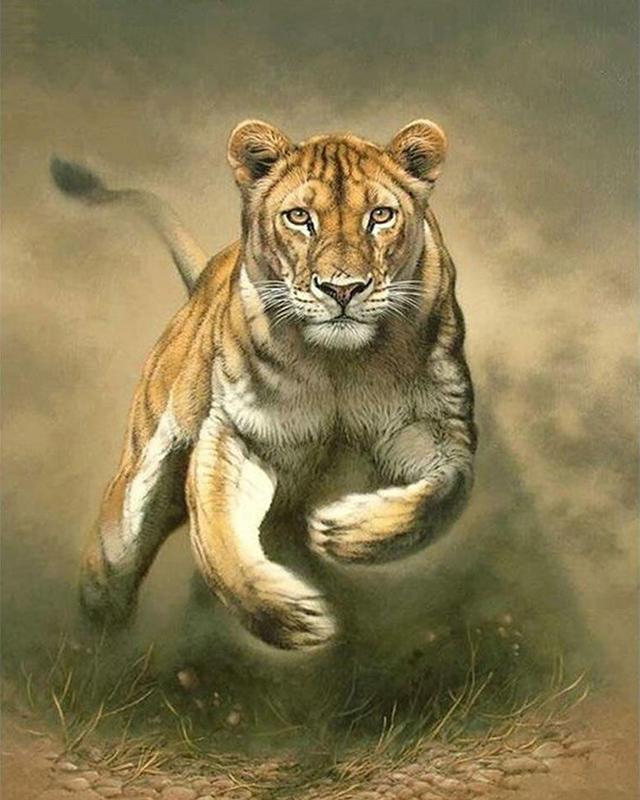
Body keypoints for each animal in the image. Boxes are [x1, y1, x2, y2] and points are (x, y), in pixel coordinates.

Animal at [50, 118, 476, 650]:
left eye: (380, 216)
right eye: (299, 218)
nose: (342, 289)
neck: (339, 365)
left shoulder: (433, 428)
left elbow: (448, 493)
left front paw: (345, 532)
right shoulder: (240, 433)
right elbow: (217, 537)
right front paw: (291, 618)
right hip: (138, 479)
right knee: (116, 541)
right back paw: (97, 618)